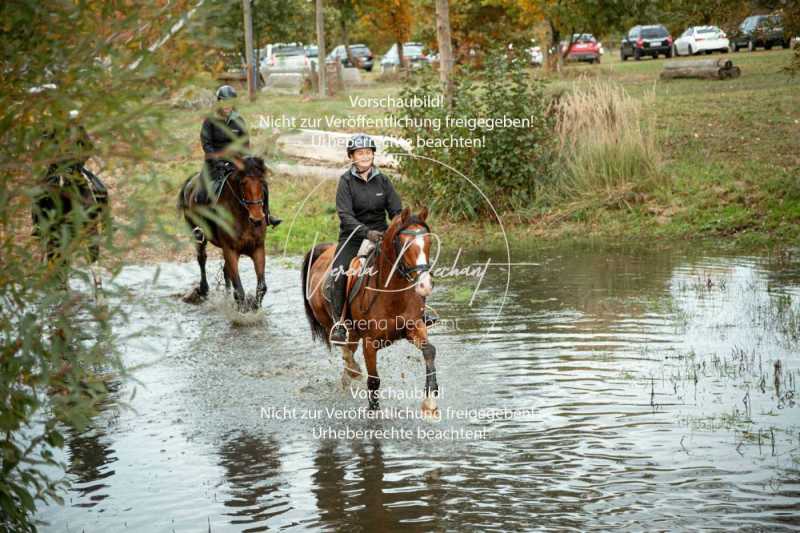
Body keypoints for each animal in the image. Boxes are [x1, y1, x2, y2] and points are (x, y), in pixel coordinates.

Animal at [178, 156, 268, 310]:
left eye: (262, 182)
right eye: (243, 183)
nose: (257, 218)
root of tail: (191, 181)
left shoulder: (258, 248)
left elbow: (261, 287)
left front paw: (255, 308)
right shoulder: (230, 250)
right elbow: (239, 291)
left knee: (226, 272)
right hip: (198, 236)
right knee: (202, 259)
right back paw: (204, 289)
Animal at [300, 206, 438, 414]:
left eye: (429, 242)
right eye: (404, 245)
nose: (424, 286)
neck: (391, 293)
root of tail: (324, 251)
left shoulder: (414, 327)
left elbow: (429, 351)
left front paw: (430, 400)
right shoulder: (370, 343)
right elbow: (373, 381)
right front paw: (373, 412)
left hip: (354, 333)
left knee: (349, 353)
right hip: (329, 321)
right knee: (343, 346)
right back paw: (353, 369)